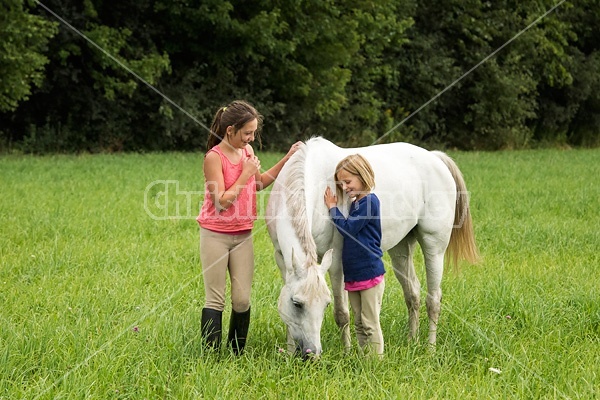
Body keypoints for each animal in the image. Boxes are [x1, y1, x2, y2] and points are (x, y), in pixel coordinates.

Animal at [266, 137, 478, 356]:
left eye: (325, 304)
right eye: (297, 304)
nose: (312, 353)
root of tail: (435, 158)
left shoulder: (337, 262)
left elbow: (342, 313)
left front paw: (347, 353)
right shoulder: (282, 258)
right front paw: (289, 352)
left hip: (434, 247)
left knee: (433, 299)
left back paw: (430, 348)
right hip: (401, 250)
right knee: (413, 293)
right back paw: (412, 341)